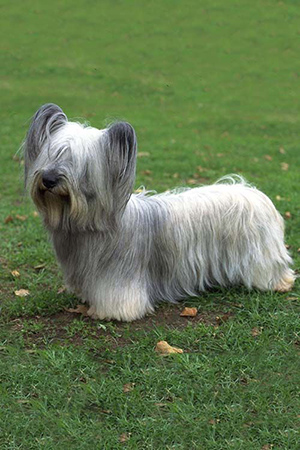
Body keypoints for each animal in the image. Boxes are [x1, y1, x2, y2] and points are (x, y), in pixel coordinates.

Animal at [24, 103, 296, 322]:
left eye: (80, 163)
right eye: (52, 154)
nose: (48, 180)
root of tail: (252, 191)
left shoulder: (120, 277)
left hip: (261, 254)